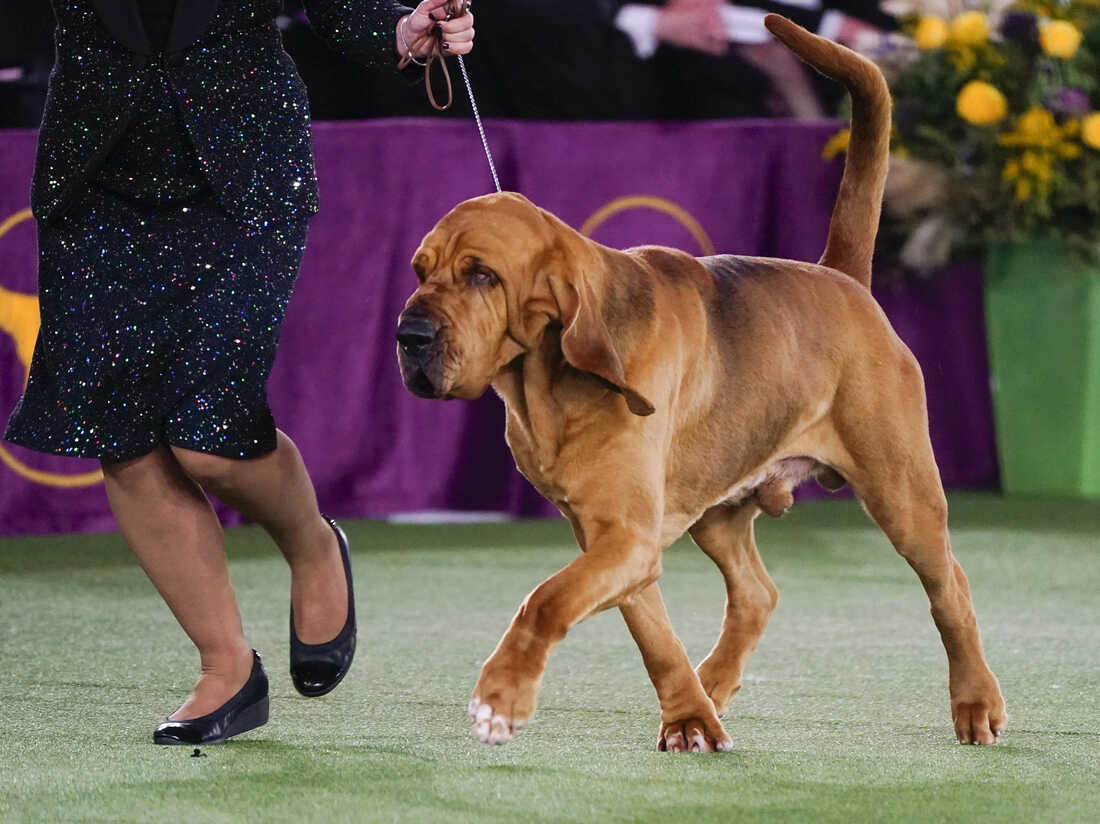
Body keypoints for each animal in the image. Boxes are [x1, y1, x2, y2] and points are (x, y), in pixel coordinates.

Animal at [393, 14, 1007, 752]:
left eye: (483, 276)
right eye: (419, 269)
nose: (409, 336)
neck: (550, 383)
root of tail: (841, 279)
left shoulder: (625, 536)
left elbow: (543, 601)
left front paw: (500, 697)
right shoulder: (613, 539)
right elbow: (650, 631)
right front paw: (687, 716)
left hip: (903, 493)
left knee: (952, 589)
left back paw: (976, 703)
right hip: (720, 506)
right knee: (757, 593)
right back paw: (712, 686)